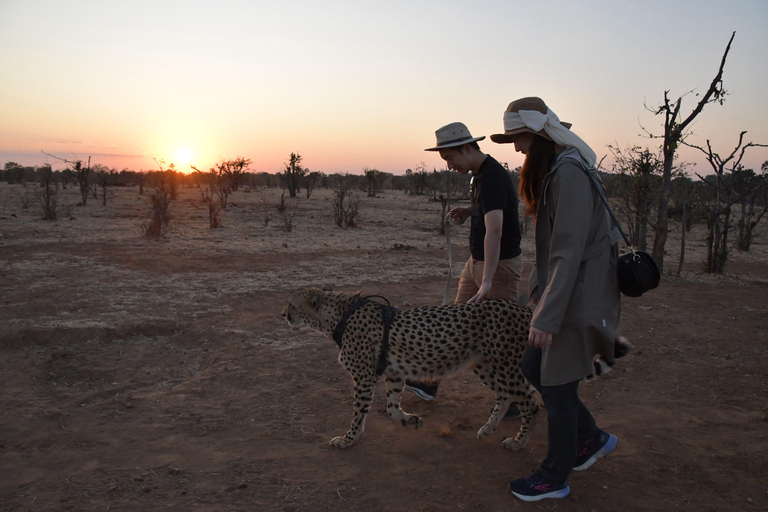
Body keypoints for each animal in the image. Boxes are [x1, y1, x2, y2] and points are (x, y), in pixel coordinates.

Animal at [282, 286, 540, 450]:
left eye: (292, 304)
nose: (283, 314)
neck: (338, 315)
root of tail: (524, 309)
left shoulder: (364, 376)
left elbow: (358, 413)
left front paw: (348, 439)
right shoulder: (394, 373)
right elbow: (392, 408)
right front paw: (410, 420)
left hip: (505, 367)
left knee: (530, 403)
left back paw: (519, 442)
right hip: (485, 364)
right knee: (506, 395)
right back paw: (488, 429)